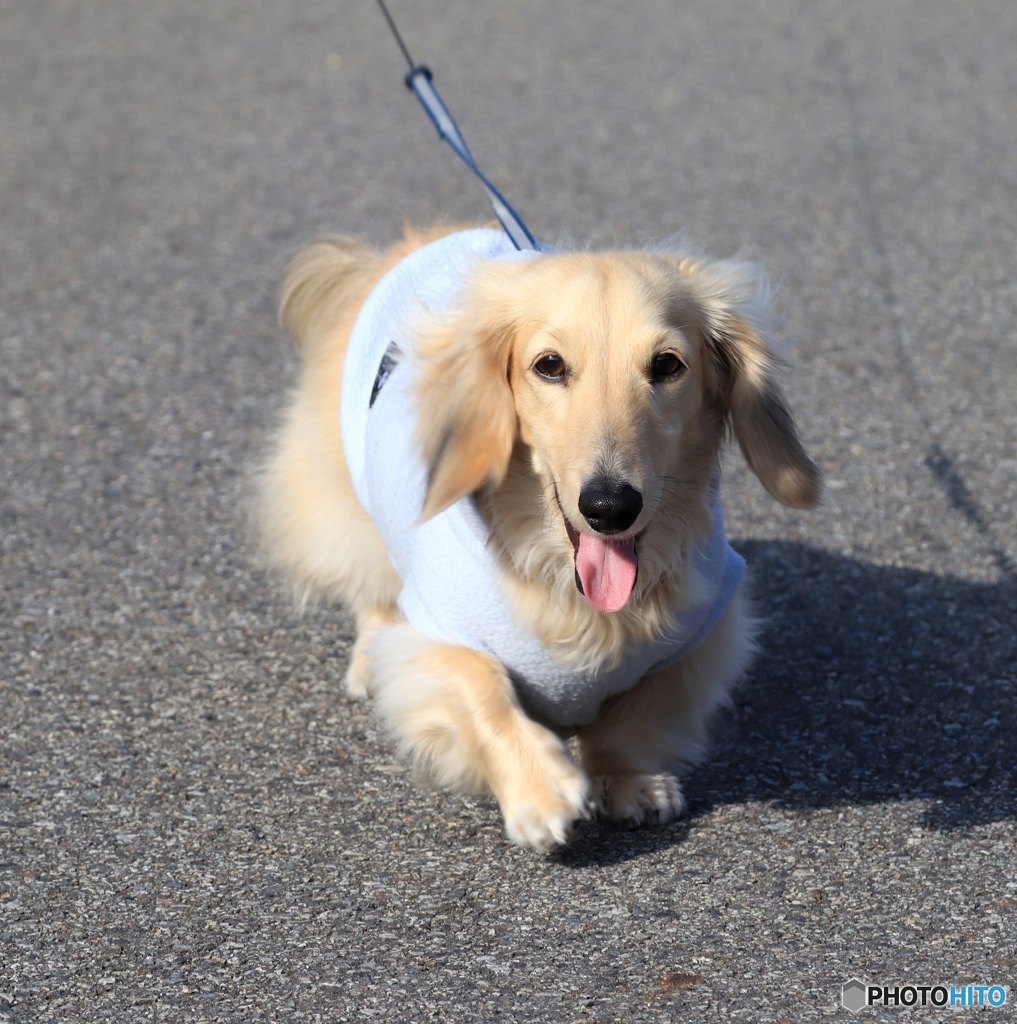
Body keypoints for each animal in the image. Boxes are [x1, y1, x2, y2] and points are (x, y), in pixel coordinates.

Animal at [258, 222, 823, 847]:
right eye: (550, 365)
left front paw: (629, 780)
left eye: (668, 365)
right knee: (373, 591)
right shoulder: (437, 633)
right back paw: (368, 659)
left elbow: (636, 716)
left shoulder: (701, 634)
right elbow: (481, 687)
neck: (575, 596)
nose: (609, 507)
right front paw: (541, 791)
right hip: (348, 501)